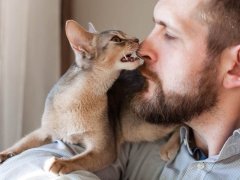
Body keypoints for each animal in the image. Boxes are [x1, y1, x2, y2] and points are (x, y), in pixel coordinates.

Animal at [0, 19, 180, 174]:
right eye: (116, 39)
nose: (137, 39)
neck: (75, 101)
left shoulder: (104, 148)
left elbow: (81, 159)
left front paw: (61, 163)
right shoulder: (44, 131)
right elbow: (22, 143)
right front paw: (4, 154)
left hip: (148, 122)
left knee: (182, 124)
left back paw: (168, 148)